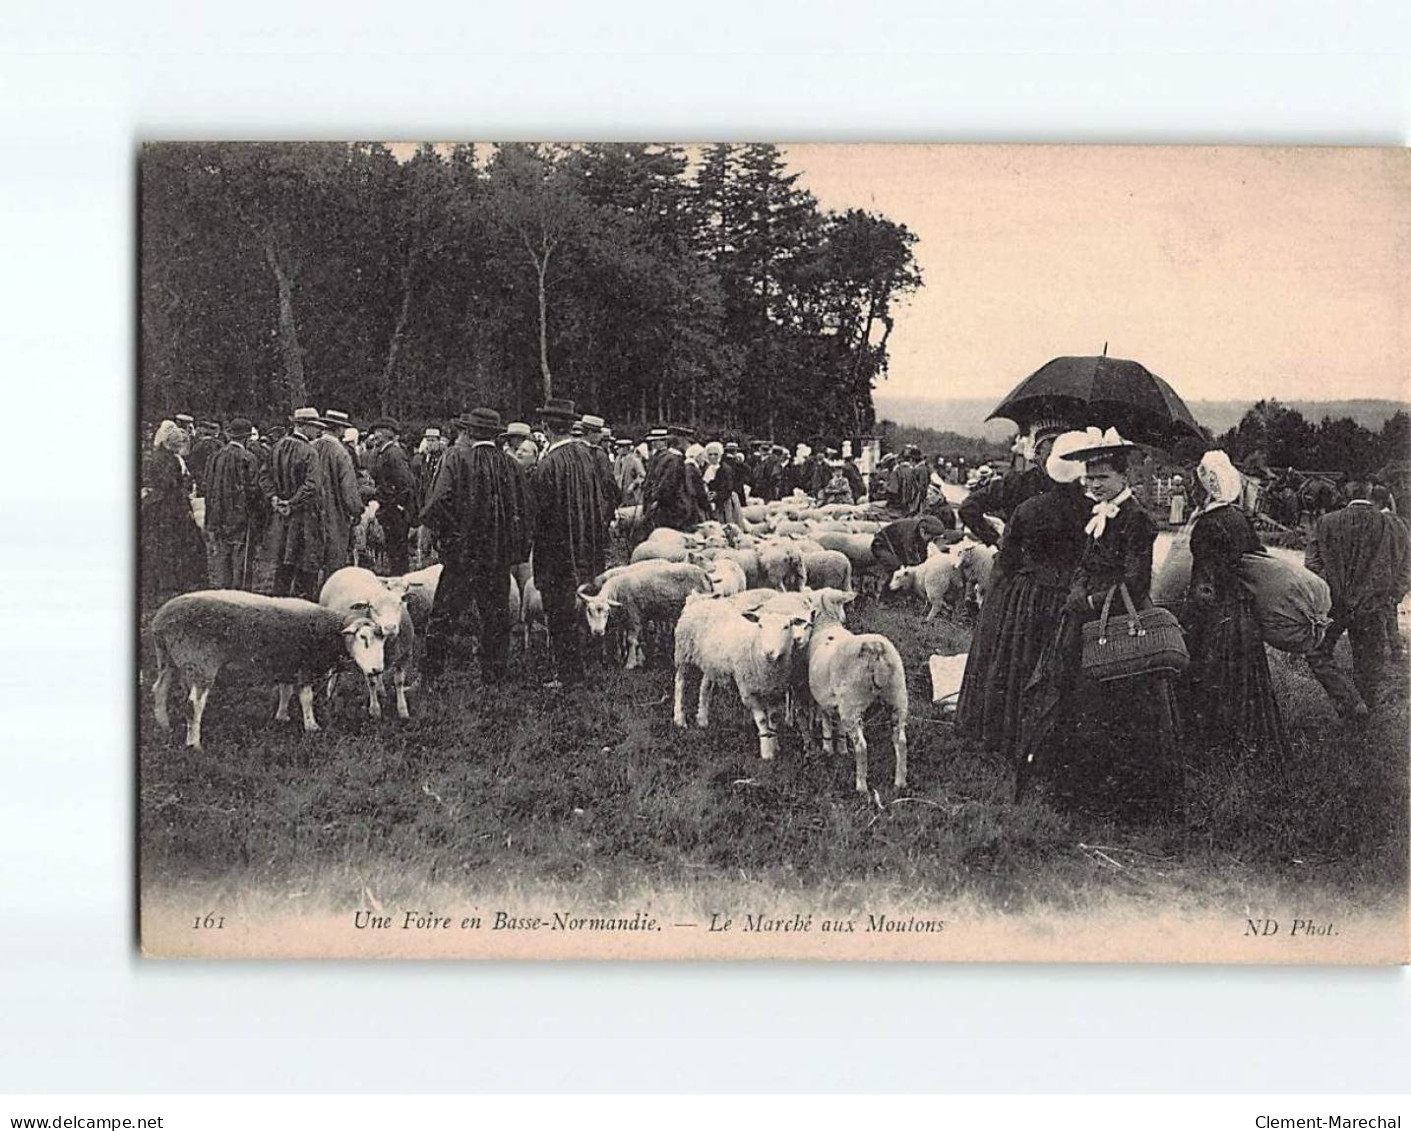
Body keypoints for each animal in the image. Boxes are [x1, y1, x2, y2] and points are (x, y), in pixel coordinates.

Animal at [149, 589, 389, 750]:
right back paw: (193, 743)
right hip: (199, 662)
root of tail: (160, 621)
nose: (377, 670)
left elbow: (285, 691)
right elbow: (306, 698)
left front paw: (282, 717)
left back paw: (163, 725)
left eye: (382, 640)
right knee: (193, 705)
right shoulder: (304, 666)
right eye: (363, 638)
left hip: (168, 658)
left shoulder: (288, 664)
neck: (327, 632)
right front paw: (312, 726)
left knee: (159, 688)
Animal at [323, 569, 417, 719]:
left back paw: (381, 690)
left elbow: (399, 682)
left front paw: (403, 710)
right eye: (371, 607)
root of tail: (350, 567)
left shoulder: (405, 656)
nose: (390, 627)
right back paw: (330, 691)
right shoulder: (365, 658)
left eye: (399, 603)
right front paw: (375, 710)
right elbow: (371, 682)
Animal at [575, 558, 711, 665]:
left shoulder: (633, 616)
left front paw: (630, 663)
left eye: (606, 612)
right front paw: (633, 658)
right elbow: (627, 638)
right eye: (589, 611)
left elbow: (630, 640)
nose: (597, 632)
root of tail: (704, 573)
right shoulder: (631, 618)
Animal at [671, 589, 818, 755]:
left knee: (705, 686)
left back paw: (702, 720)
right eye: (760, 625)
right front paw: (767, 752)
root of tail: (698, 599)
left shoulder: (775, 689)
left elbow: (773, 718)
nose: (769, 652)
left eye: (786, 627)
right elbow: (762, 720)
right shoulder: (749, 690)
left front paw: (774, 745)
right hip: (683, 651)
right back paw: (679, 719)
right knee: (680, 683)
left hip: (710, 661)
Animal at [801, 586, 908, 789]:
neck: (827, 624)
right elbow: (839, 728)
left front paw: (828, 749)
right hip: (897, 695)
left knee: (861, 745)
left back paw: (861, 786)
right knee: (901, 740)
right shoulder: (835, 702)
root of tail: (875, 649)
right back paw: (900, 782)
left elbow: (827, 723)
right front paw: (842, 750)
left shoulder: (822, 698)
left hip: (852, 700)